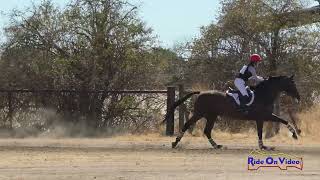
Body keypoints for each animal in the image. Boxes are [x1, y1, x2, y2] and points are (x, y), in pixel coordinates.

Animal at [164, 75, 302, 150]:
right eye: (292, 83)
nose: (298, 97)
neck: (263, 94)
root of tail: (200, 92)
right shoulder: (263, 117)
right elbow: (271, 126)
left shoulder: (263, 117)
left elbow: (281, 122)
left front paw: (294, 134)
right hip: (199, 114)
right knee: (187, 125)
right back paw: (175, 142)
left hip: (211, 116)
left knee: (207, 131)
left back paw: (216, 146)